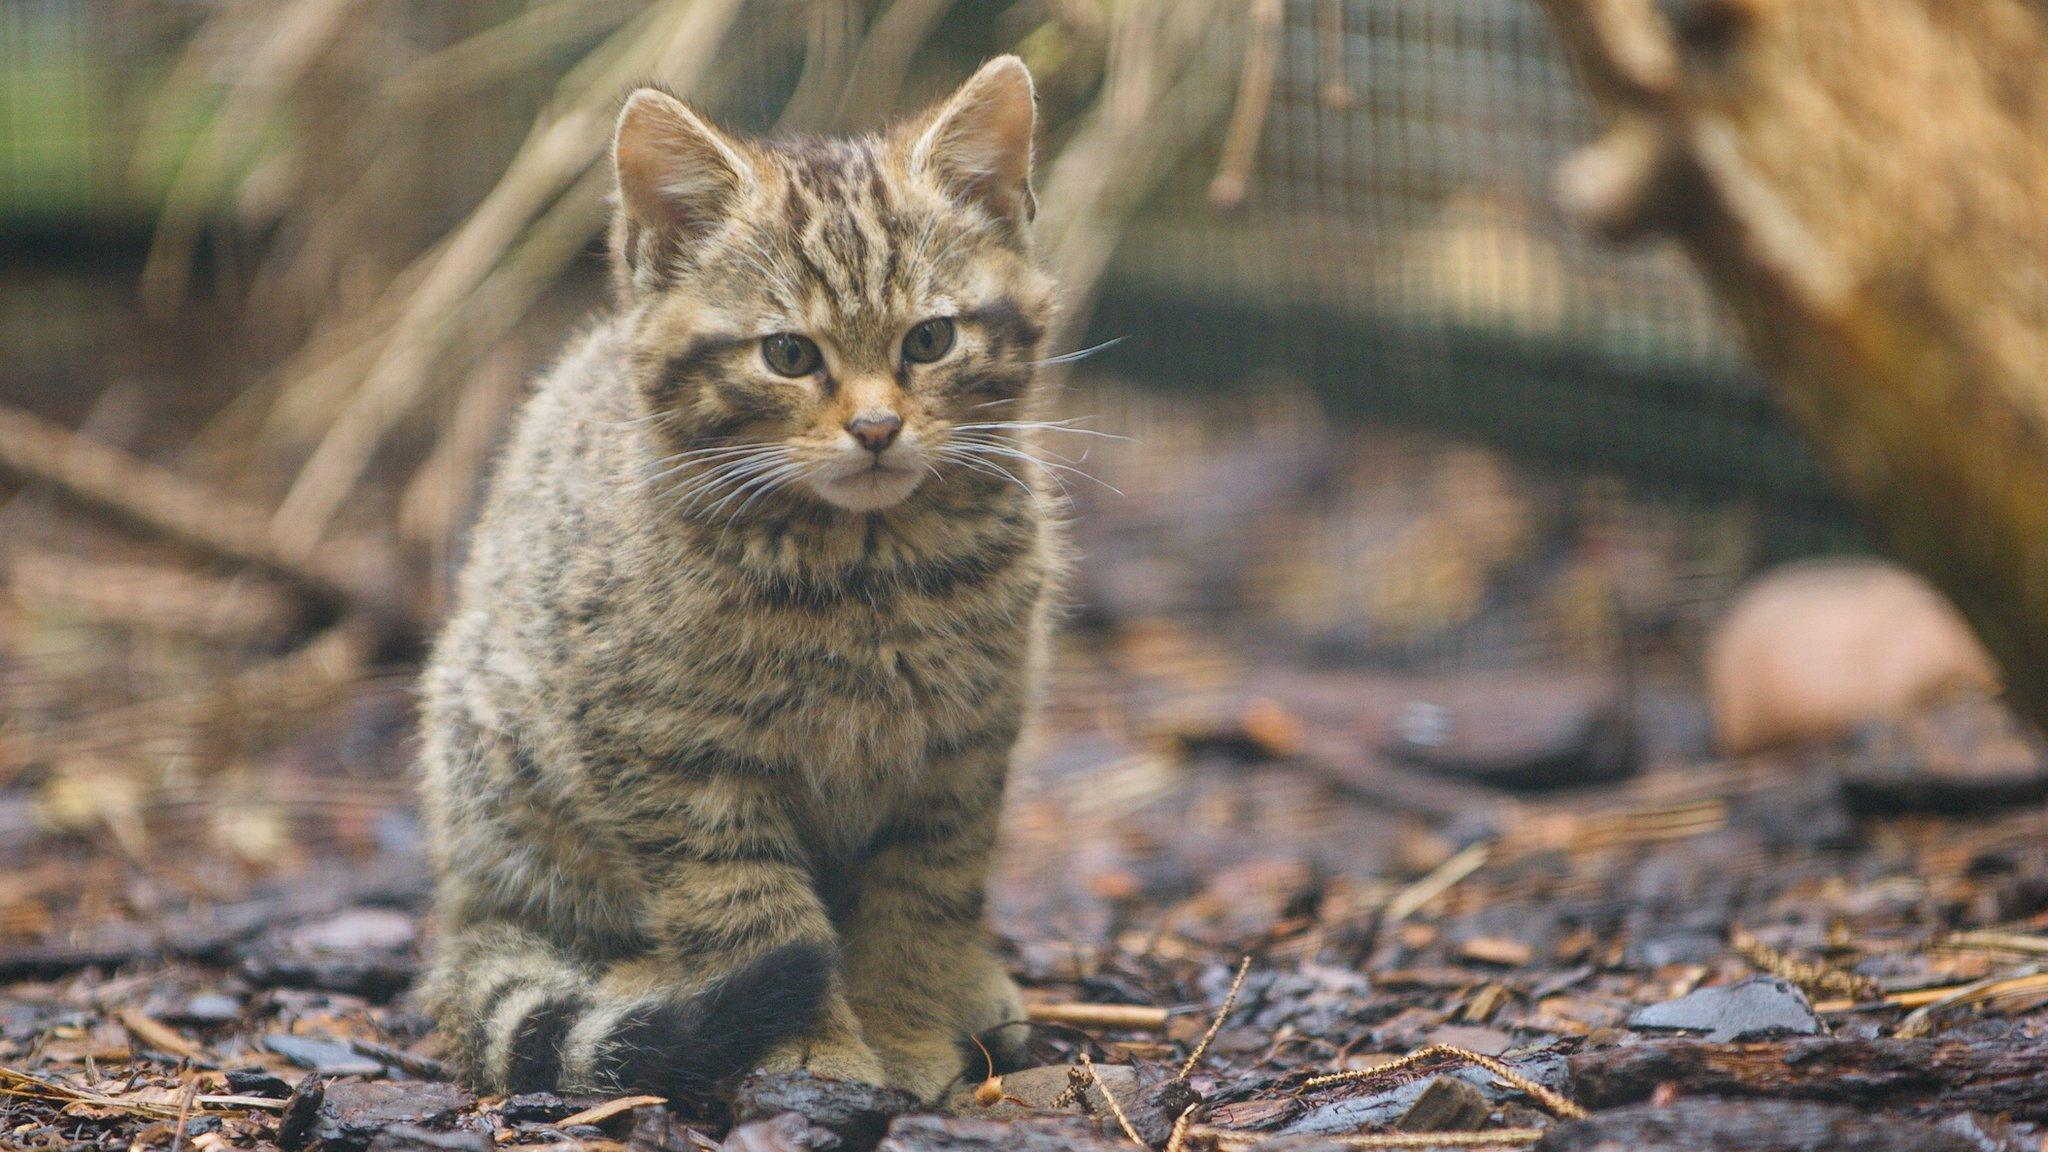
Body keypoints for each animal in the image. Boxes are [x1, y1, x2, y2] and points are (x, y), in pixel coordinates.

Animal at [413, 60, 1056, 1106]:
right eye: (788, 354)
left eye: (930, 341)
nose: (877, 428)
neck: (863, 564)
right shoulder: (668, 753)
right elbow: (751, 912)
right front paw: (812, 1051)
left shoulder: (961, 749)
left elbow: (922, 899)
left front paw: (906, 1025)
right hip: (498, 765)